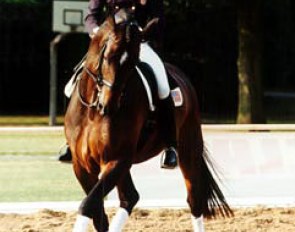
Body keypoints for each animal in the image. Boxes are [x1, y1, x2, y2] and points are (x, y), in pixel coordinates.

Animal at [65, 7, 234, 232]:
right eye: (108, 56)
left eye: (133, 64)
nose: (109, 106)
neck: (93, 111)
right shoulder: (81, 165)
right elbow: (97, 212)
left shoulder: (117, 159)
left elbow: (88, 205)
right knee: (130, 197)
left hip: (188, 149)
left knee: (194, 200)